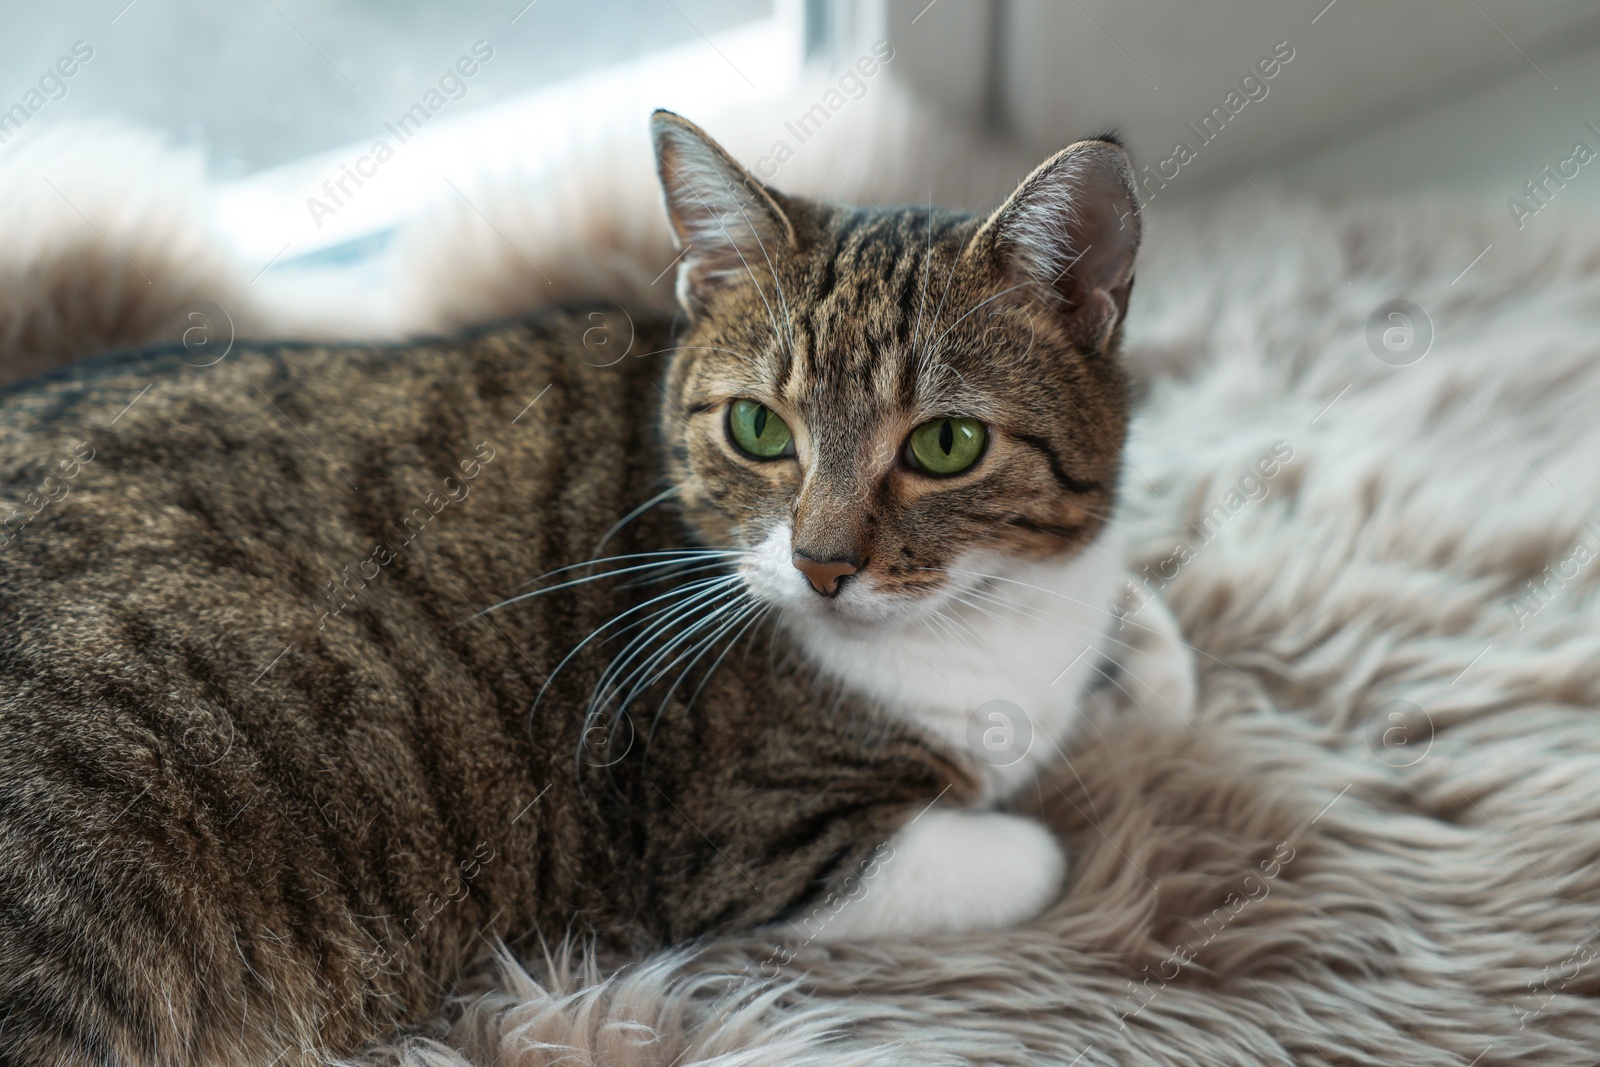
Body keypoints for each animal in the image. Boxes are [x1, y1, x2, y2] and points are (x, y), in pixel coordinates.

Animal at [0, 112, 1139, 1062]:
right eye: (758, 428)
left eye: (946, 445)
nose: (821, 564)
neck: (992, 621)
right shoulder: (739, 844)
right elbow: (1030, 850)